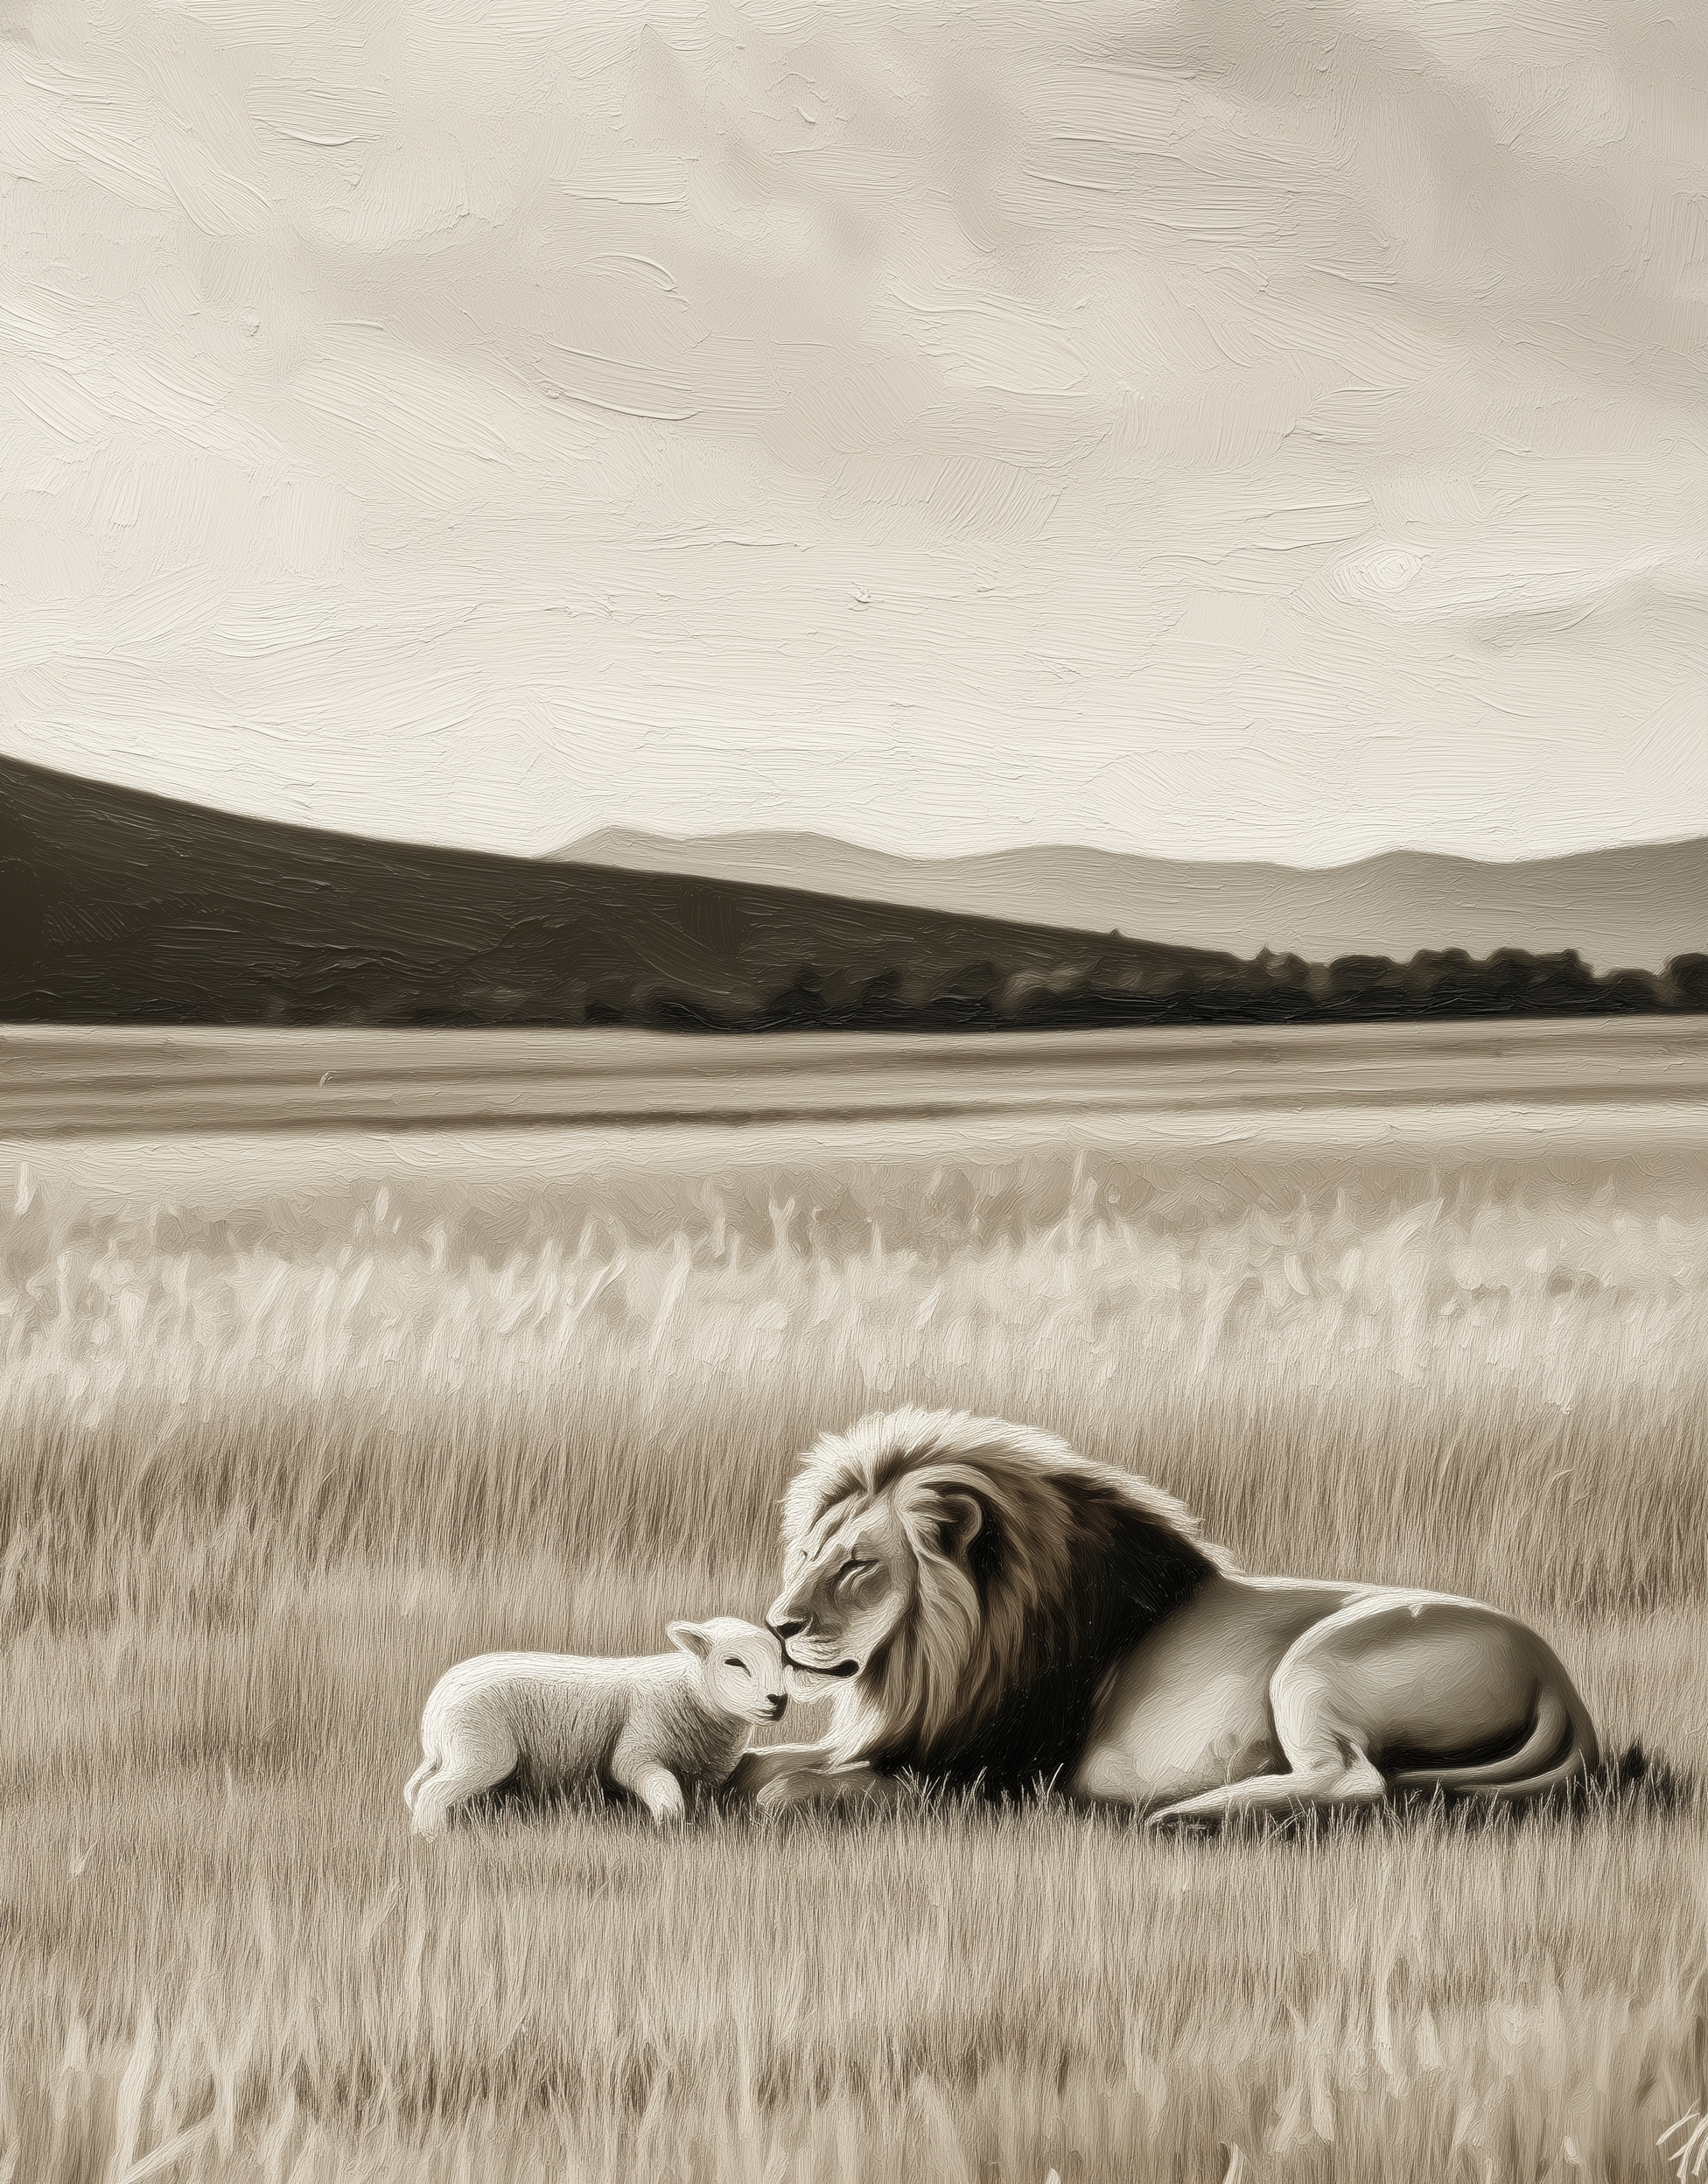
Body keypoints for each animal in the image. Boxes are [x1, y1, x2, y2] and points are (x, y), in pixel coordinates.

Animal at [403, 1617, 788, 1834]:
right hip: (481, 1748)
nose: (779, 1699)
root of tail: (432, 1713)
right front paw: (668, 1828)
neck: (690, 1689)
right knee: (433, 1792)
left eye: (782, 1661)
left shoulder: (706, 1776)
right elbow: (664, 1790)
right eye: (734, 1662)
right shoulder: (636, 1752)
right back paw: (430, 1837)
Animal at [728, 1406, 1600, 1826]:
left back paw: (1192, 1814)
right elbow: (762, 1763)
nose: (779, 1625)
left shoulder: (987, 1776)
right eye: (807, 1554)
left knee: (1358, 1781)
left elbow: (787, 1788)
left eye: (860, 1565)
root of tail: (1556, 1674)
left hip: (1318, 1659)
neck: (928, 1659)